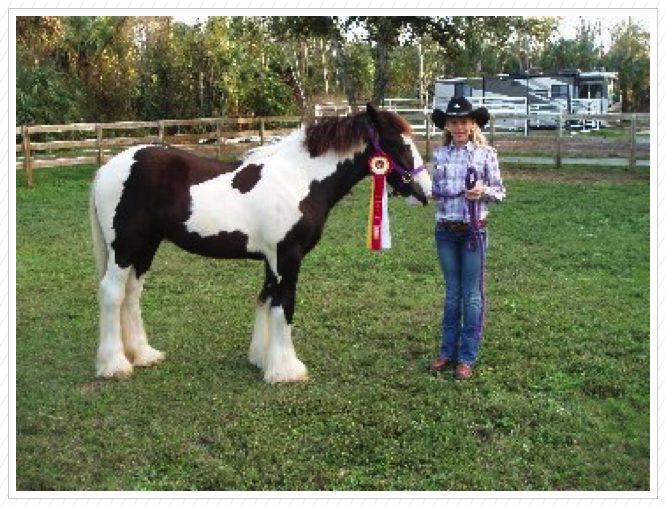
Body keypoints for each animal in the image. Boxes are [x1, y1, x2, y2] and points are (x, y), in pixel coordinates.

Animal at [88, 105, 430, 386]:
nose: (425, 191)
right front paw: (286, 370)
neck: (299, 180)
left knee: (131, 294)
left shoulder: (272, 258)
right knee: (112, 293)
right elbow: (284, 304)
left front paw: (262, 359)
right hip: (124, 248)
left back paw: (144, 354)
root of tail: (107, 169)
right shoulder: (286, 256)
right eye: (401, 144)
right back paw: (115, 365)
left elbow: (265, 299)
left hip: (145, 247)